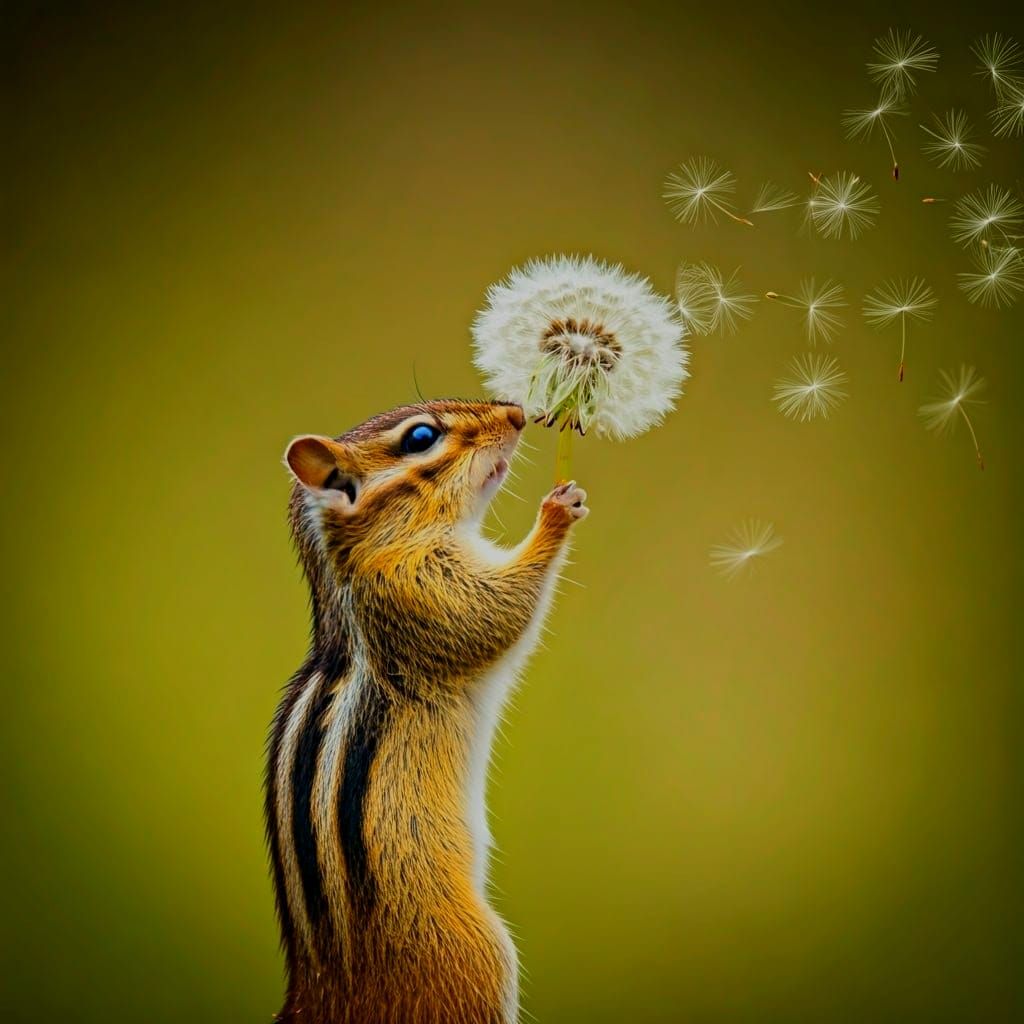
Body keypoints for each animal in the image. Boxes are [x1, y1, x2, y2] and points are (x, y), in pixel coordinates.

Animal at [266, 399, 588, 1024]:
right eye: (420, 437)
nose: (518, 412)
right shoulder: (424, 593)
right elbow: (501, 609)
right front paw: (557, 511)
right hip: (478, 957)